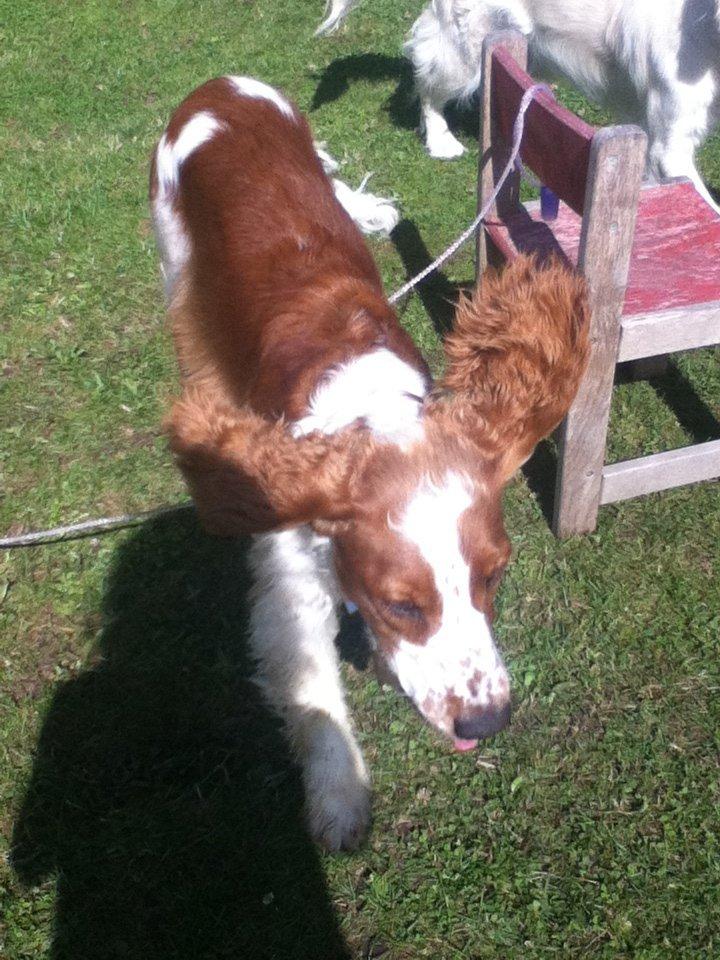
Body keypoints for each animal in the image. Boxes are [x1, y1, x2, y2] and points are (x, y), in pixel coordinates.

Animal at [150, 79, 592, 852]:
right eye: (402, 605)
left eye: (493, 576)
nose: (486, 723)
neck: (368, 403)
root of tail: (221, 88)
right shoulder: (291, 568)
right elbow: (313, 692)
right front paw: (339, 800)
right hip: (176, 255)